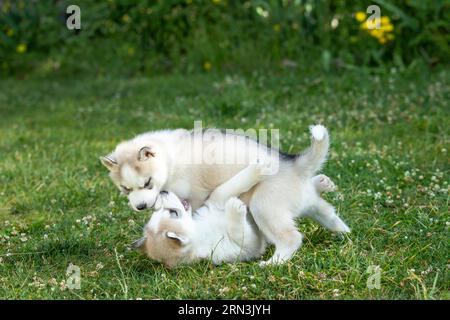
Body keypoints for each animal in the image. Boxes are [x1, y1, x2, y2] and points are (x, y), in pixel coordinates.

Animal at [132, 165, 336, 268]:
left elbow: (225, 188)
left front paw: (256, 169)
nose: (163, 192)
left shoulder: (215, 201)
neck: (202, 232)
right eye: (173, 213)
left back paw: (322, 183)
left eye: (164, 212)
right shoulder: (249, 245)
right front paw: (235, 209)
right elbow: (239, 232)